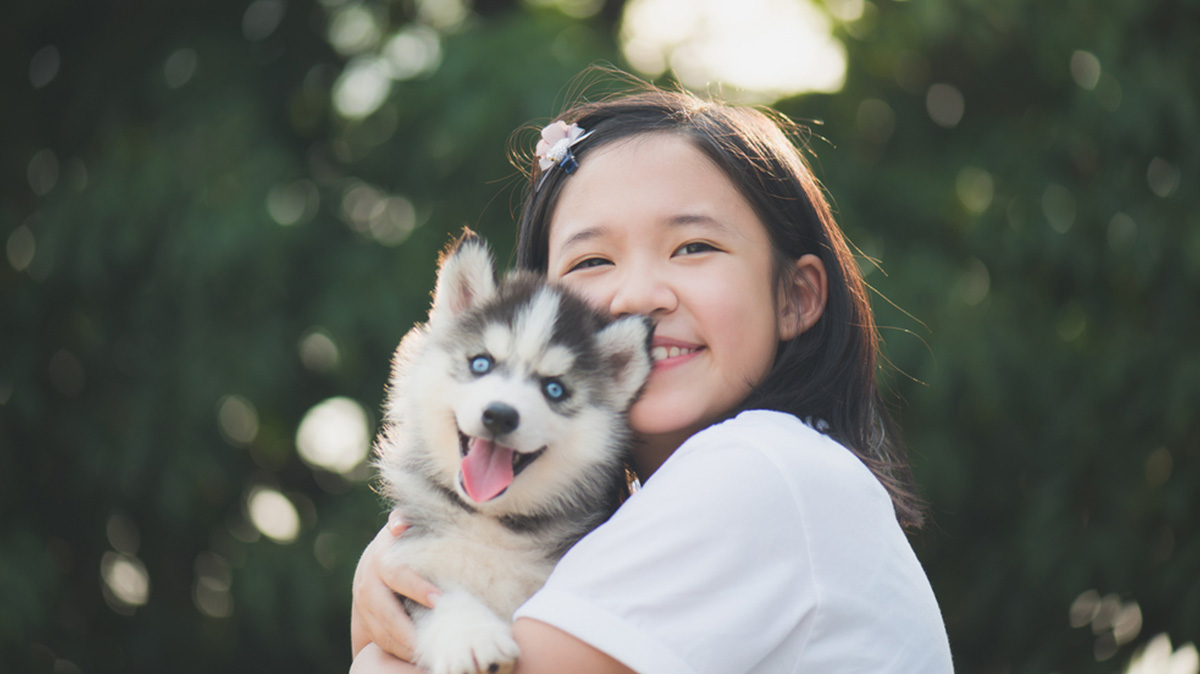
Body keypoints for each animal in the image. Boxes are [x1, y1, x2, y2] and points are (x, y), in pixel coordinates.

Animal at [379, 232, 652, 671]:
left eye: (554, 389)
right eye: (481, 364)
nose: (500, 415)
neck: (490, 525)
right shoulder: (412, 566)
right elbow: (440, 600)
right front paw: (472, 637)